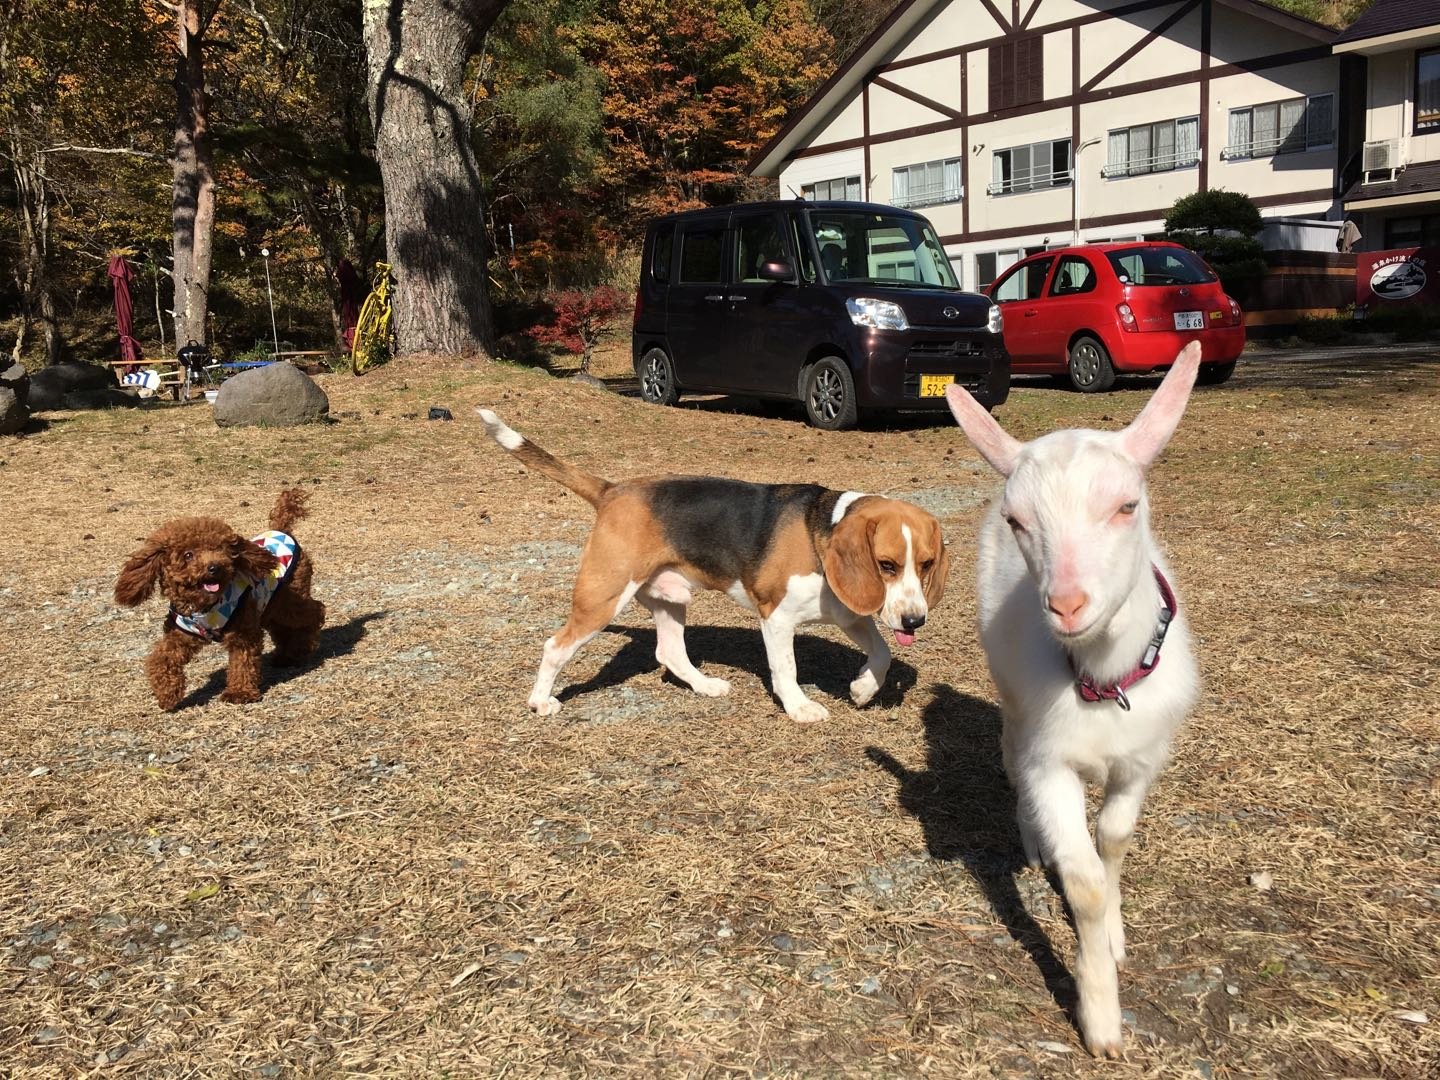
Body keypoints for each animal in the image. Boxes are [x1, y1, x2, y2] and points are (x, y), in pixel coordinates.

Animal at [478, 408, 944, 722]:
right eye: (886, 564)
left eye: (925, 564)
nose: (915, 621)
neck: (822, 530)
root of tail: (613, 490)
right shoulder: (776, 619)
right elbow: (786, 668)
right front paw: (799, 706)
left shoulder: (852, 614)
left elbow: (883, 652)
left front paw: (863, 689)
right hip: (603, 597)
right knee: (556, 646)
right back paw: (541, 701)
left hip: (670, 596)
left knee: (669, 651)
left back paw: (705, 685)